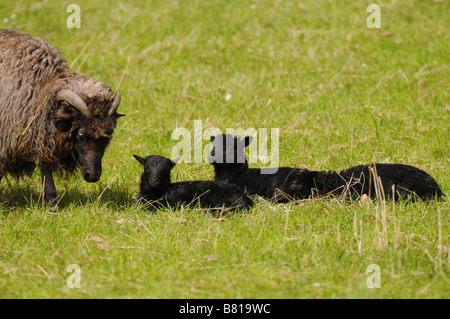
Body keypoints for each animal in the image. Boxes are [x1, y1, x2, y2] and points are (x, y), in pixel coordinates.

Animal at [0, 30, 123, 205]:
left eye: (108, 136)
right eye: (80, 134)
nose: (93, 176)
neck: (42, 87)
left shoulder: (42, 133)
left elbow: (46, 166)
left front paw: (51, 201)